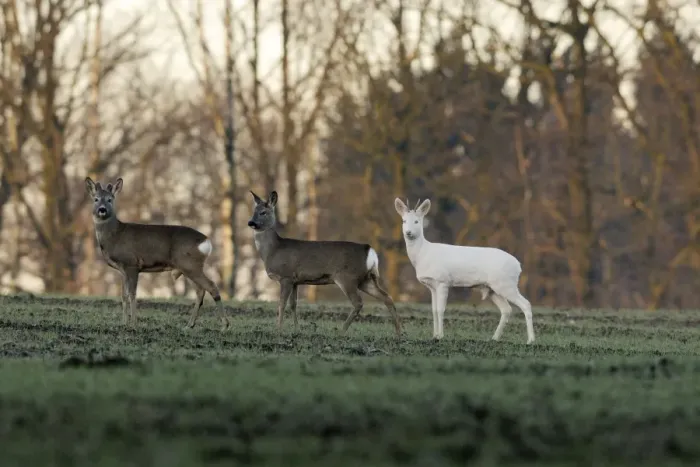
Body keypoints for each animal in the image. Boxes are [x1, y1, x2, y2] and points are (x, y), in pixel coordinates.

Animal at [84, 177, 230, 331]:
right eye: (96, 199)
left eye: (110, 199)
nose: (102, 209)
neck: (115, 235)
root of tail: (206, 241)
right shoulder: (122, 270)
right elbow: (123, 295)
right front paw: (123, 323)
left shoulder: (132, 264)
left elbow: (132, 294)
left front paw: (133, 323)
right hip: (187, 267)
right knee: (200, 291)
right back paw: (189, 325)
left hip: (190, 264)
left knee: (211, 286)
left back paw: (224, 325)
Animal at [247, 190, 402, 337]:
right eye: (253, 211)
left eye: (263, 212)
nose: (251, 222)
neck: (273, 250)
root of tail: (370, 250)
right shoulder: (295, 280)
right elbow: (293, 304)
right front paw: (296, 329)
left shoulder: (286, 276)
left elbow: (281, 304)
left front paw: (278, 329)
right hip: (366, 279)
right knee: (387, 297)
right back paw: (398, 332)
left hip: (347, 277)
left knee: (358, 302)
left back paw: (342, 330)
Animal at [394, 198, 535, 344]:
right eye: (404, 221)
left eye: (417, 221)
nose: (408, 232)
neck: (423, 254)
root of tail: (518, 265)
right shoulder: (432, 285)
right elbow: (433, 310)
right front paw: (434, 336)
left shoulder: (443, 281)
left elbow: (440, 309)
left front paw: (441, 336)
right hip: (494, 289)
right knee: (506, 309)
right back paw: (494, 338)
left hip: (506, 284)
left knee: (526, 304)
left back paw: (530, 340)